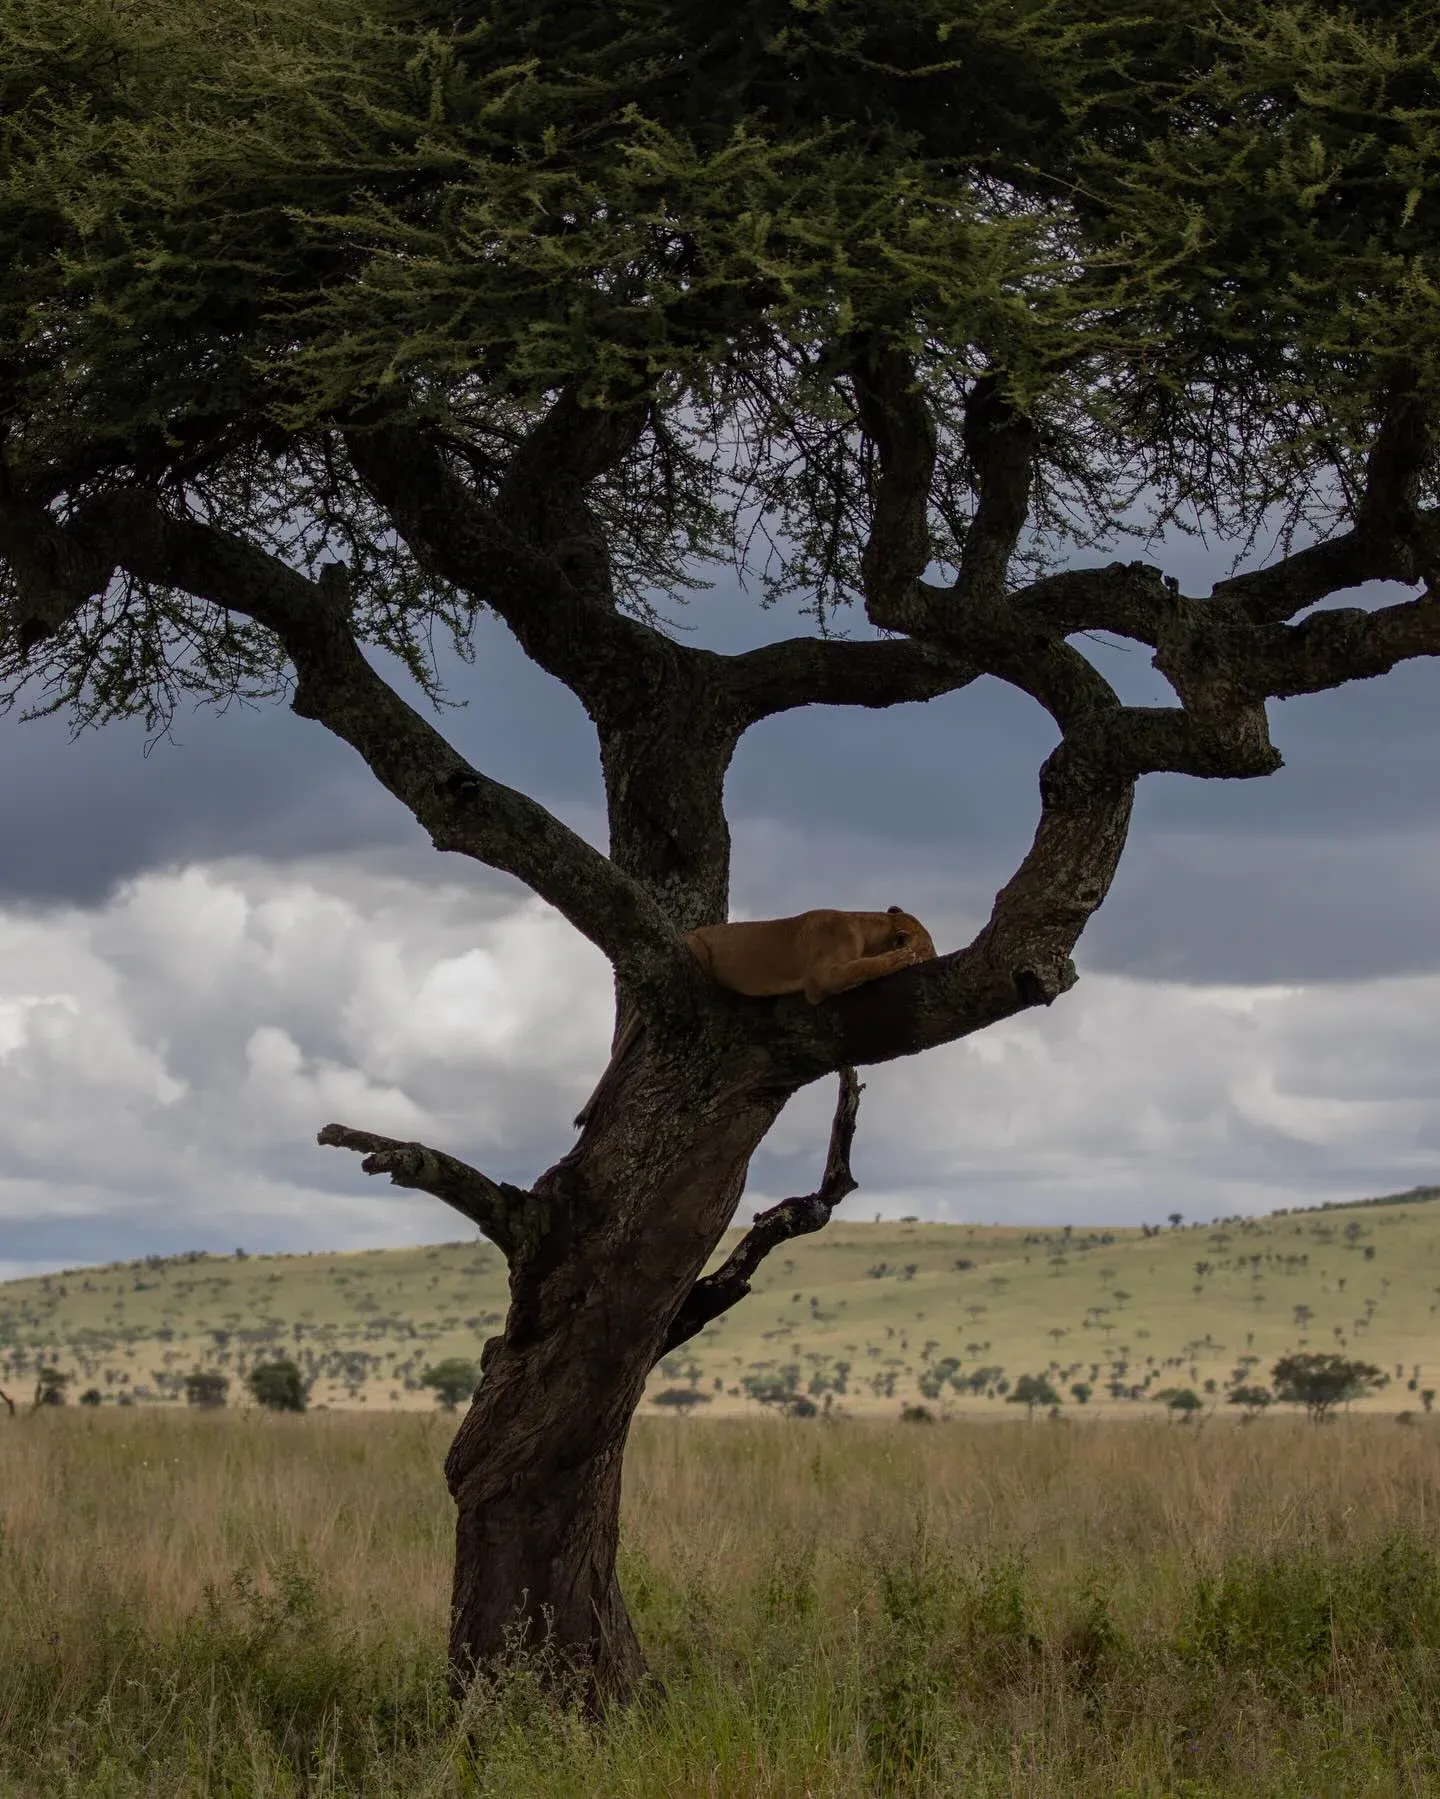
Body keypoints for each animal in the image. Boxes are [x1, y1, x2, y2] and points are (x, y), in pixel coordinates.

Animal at [573, 906, 936, 1128]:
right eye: (931, 950)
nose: (934, 958)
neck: (868, 925)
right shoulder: (822, 978)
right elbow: (866, 966)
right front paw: (902, 958)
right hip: (697, 950)